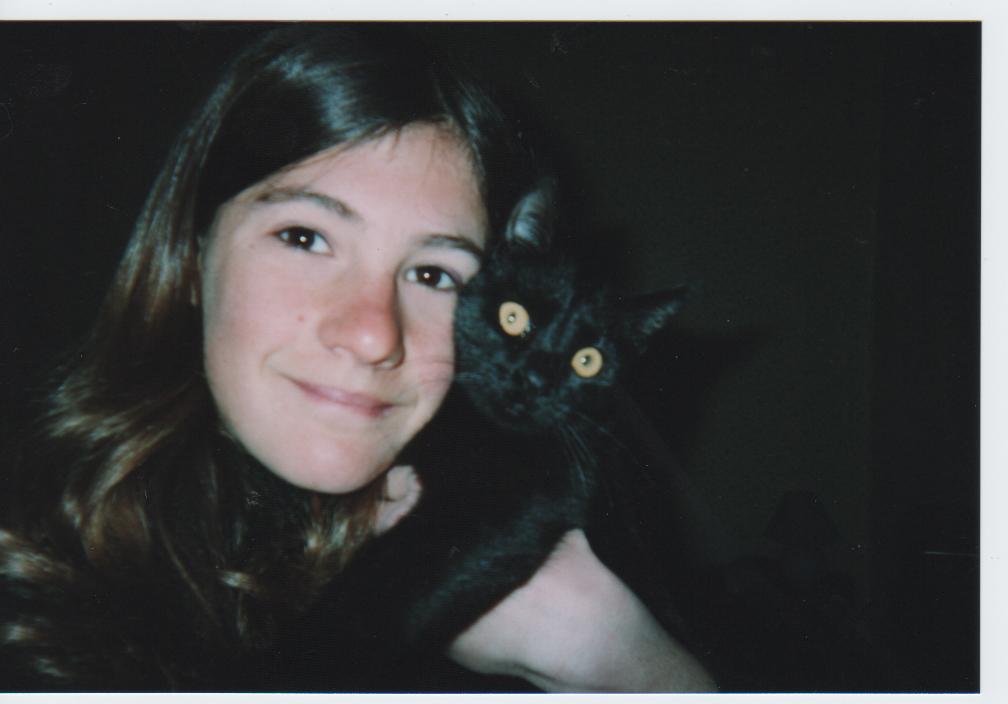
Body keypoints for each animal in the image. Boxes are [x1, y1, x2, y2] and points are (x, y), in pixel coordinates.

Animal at [287, 180, 689, 688]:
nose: (533, 380)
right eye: (513, 317)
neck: (476, 427)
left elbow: (390, 582)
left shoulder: (509, 507)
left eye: (588, 361)